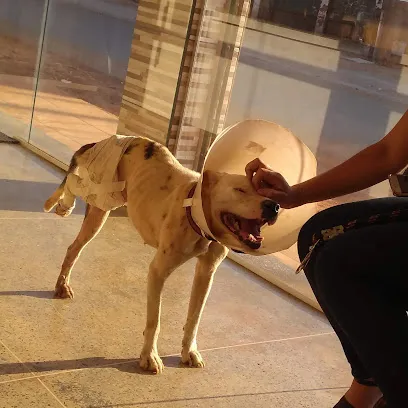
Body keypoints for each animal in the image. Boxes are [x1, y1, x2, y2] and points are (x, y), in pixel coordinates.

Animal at [45, 136, 280, 372]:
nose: (274, 206)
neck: (196, 214)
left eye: (265, 191)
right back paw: (64, 205)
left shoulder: (205, 274)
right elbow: (154, 320)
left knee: (73, 246)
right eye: (240, 190)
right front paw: (149, 356)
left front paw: (189, 351)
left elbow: (194, 318)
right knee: (73, 187)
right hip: (102, 198)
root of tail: (105, 140)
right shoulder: (158, 272)